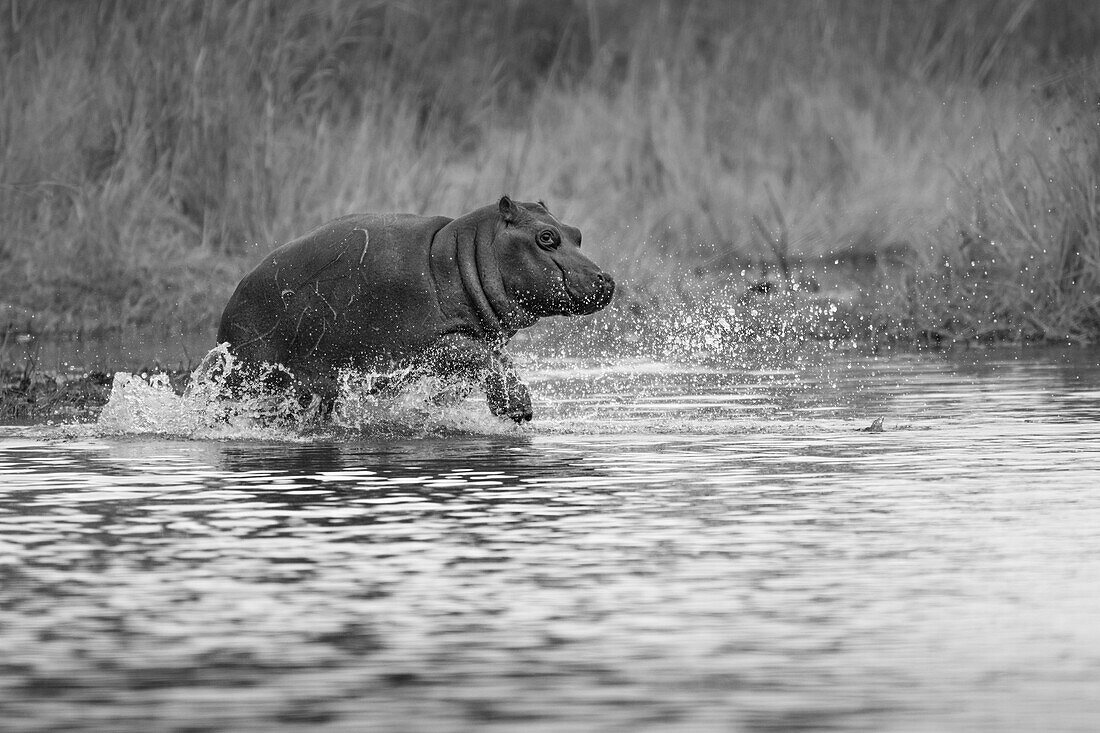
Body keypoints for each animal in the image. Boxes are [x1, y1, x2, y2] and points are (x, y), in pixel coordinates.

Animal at [214, 197, 611, 420]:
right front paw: (518, 410)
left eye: (576, 232)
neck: (463, 253)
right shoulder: (432, 342)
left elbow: (490, 364)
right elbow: (482, 358)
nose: (606, 279)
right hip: (252, 375)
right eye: (546, 237)